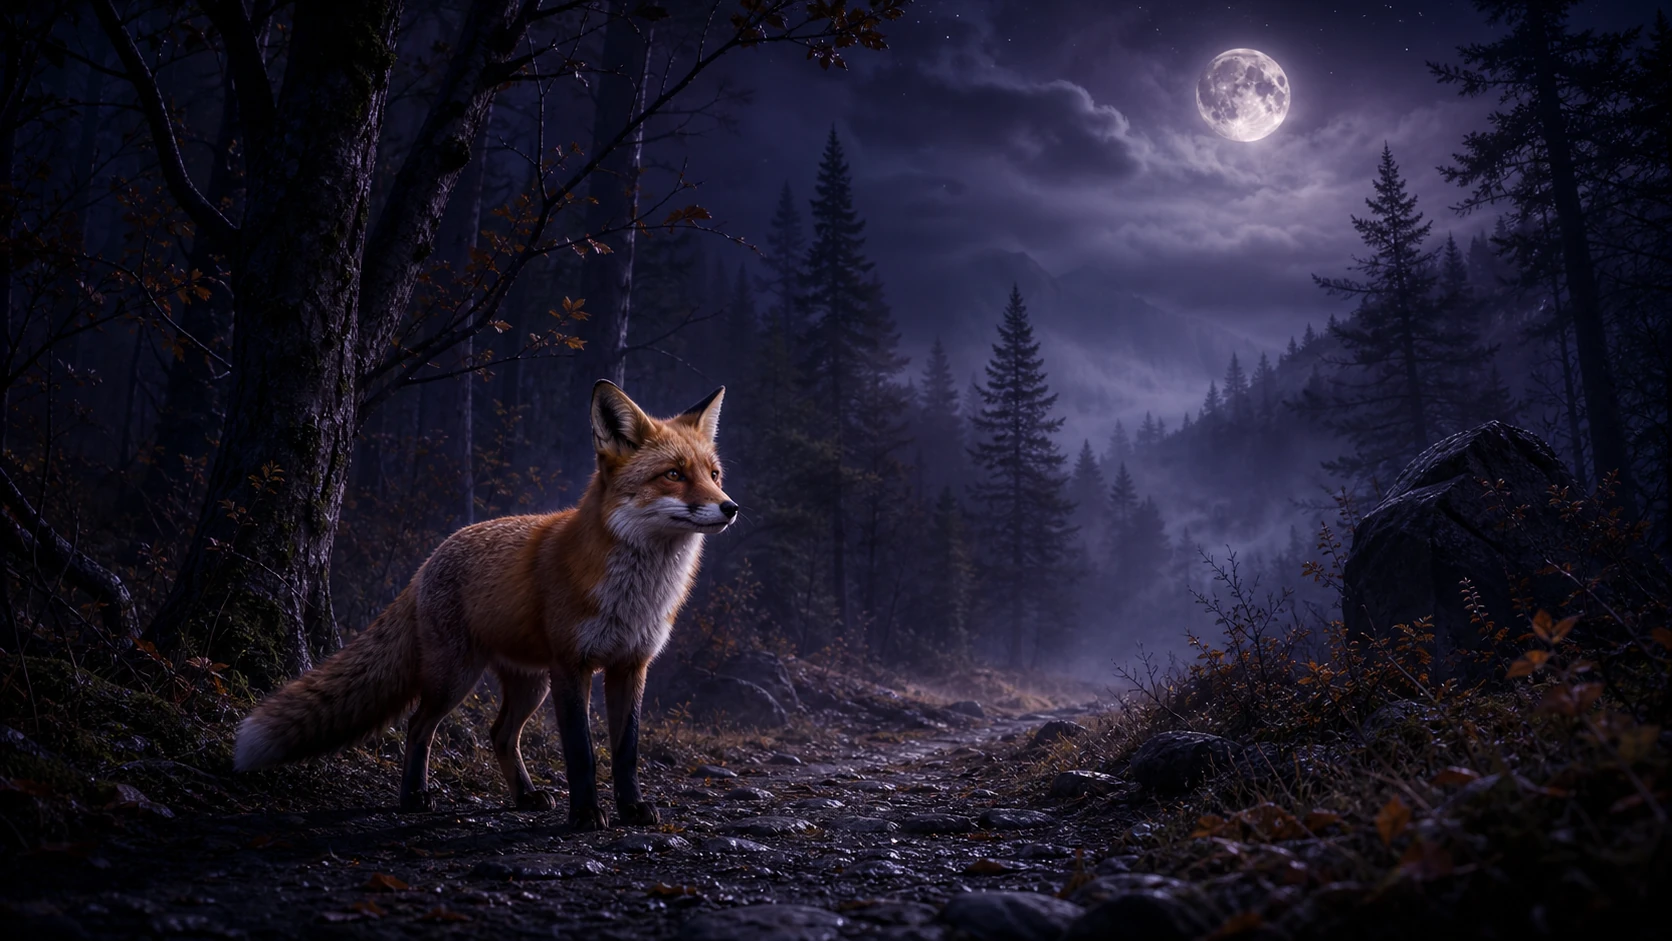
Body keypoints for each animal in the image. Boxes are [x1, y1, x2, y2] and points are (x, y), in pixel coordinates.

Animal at [232, 380, 737, 829]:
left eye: (713, 475)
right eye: (673, 474)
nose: (730, 507)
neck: (636, 593)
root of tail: (426, 563)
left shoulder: (631, 664)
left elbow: (626, 751)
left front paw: (631, 809)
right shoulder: (571, 666)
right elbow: (581, 752)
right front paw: (585, 815)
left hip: (529, 684)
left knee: (499, 734)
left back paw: (525, 796)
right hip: (457, 677)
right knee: (418, 725)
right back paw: (414, 796)